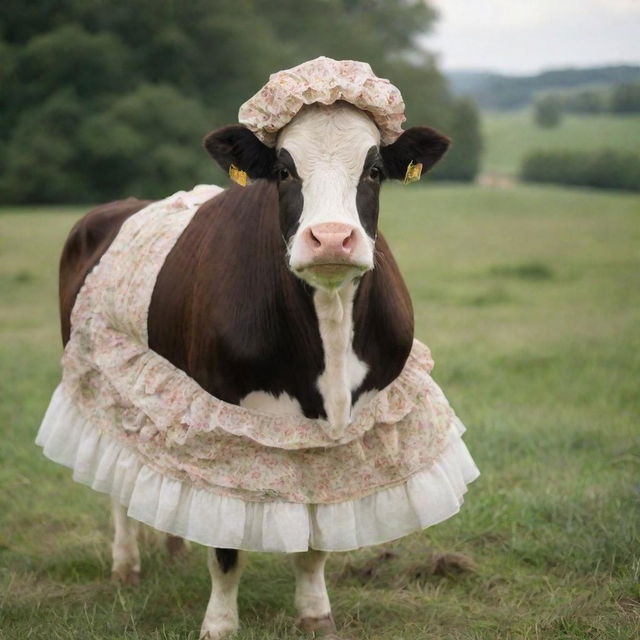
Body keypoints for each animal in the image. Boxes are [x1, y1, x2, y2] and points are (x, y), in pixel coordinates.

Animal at [58, 102, 450, 636]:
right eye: (284, 171)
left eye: (373, 171)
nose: (331, 239)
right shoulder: (225, 427)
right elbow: (226, 549)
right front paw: (220, 624)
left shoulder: (339, 438)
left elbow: (315, 543)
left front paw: (315, 613)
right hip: (104, 378)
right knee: (117, 470)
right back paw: (125, 564)